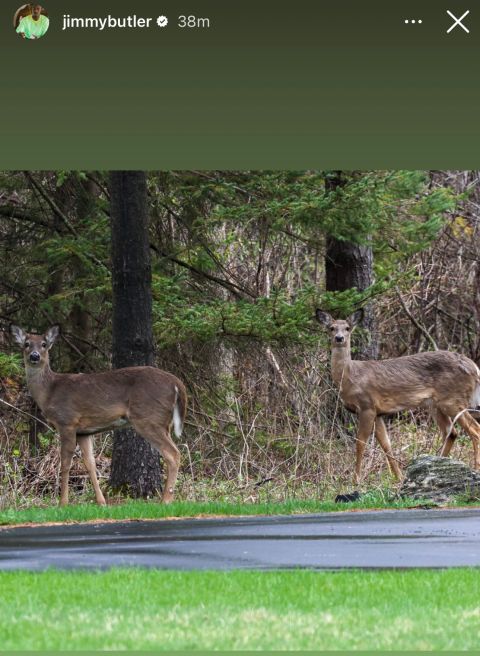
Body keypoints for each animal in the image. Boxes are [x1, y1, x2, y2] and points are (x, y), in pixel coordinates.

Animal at [10, 326, 188, 504]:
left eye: (44, 344)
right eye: (26, 344)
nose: (34, 356)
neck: (49, 392)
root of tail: (177, 384)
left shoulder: (67, 421)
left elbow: (65, 464)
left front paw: (63, 503)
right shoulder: (84, 432)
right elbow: (90, 463)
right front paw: (101, 502)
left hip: (148, 418)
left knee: (173, 454)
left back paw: (165, 500)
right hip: (162, 422)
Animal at [316, 308, 480, 482]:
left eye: (347, 328)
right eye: (331, 328)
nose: (339, 338)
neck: (351, 377)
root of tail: (474, 368)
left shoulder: (367, 406)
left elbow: (360, 442)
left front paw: (356, 480)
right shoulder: (378, 413)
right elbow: (386, 444)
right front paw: (399, 477)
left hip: (453, 400)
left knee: (474, 429)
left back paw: (474, 469)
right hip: (435, 404)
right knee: (451, 432)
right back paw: (437, 465)